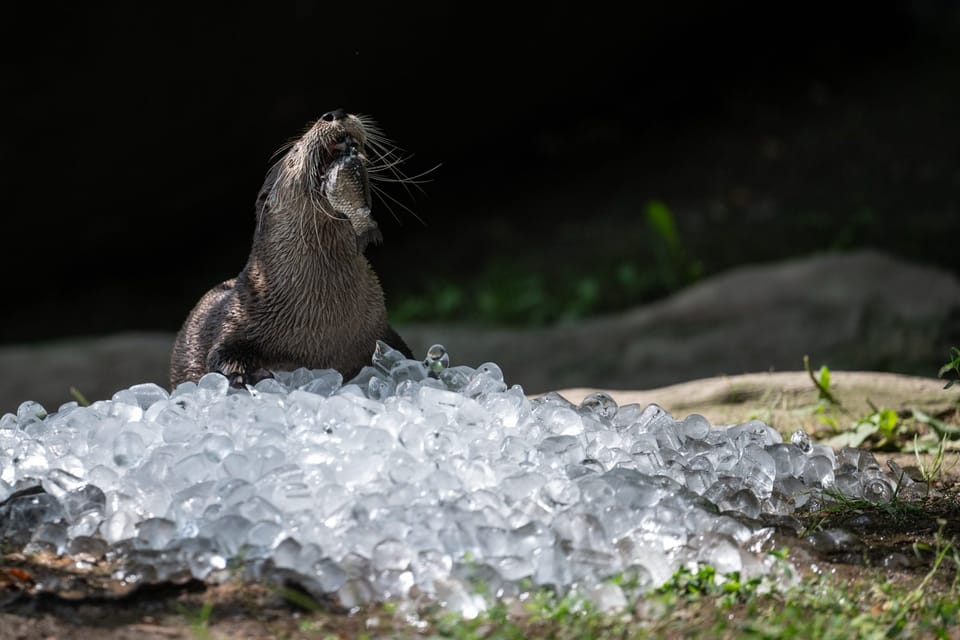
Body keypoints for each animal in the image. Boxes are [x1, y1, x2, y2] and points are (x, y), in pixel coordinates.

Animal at [169, 110, 412, 388]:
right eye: (295, 151)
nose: (335, 113)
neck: (321, 321)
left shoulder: (378, 325)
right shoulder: (238, 318)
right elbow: (221, 355)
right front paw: (247, 376)